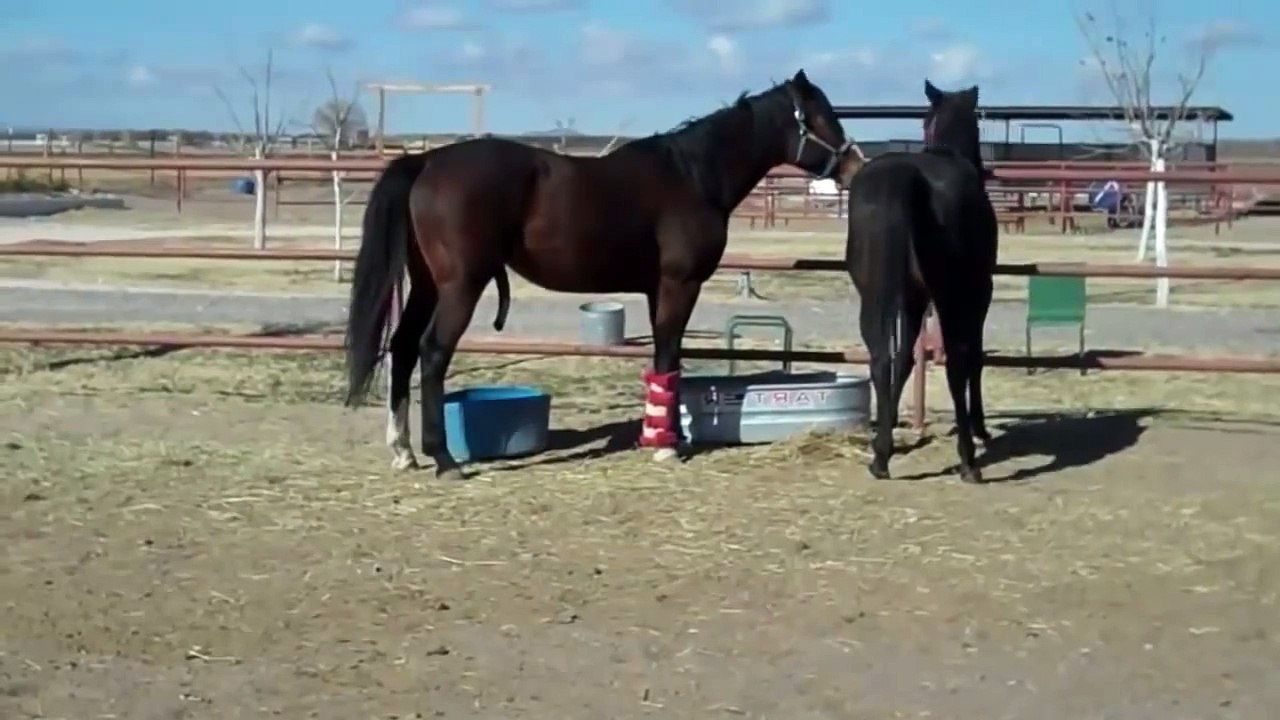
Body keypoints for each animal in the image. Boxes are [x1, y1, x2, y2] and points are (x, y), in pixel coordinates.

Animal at [343, 69, 864, 480]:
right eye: (819, 117)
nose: (855, 166)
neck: (692, 177)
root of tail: (427, 161)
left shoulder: (657, 290)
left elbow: (663, 357)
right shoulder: (679, 285)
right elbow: (669, 354)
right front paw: (666, 448)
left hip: (428, 285)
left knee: (403, 347)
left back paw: (404, 452)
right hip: (460, 287)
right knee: (431, 352)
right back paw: (444, 460)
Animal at [843, 79, 998, 483]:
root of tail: (906, 178)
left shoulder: (913, 300)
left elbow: (904, 361)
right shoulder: (979, 294)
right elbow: (973, 358)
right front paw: (979, 427)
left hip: (874, 296)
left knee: (880, 359)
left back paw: (880, 458)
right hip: (950, 295)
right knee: (958, 363)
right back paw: (968, 460)